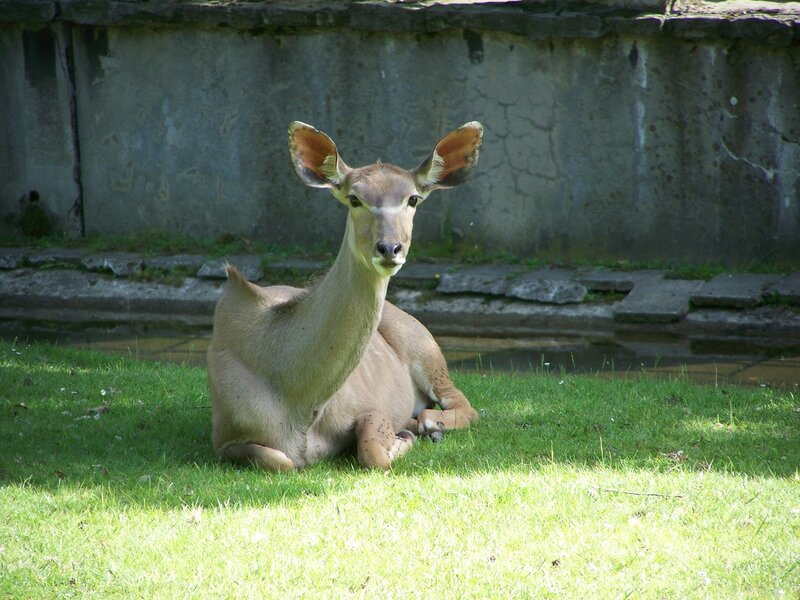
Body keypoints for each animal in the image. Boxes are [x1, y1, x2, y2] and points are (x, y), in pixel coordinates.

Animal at [207, 121, 483, 470]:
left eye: (413, 198)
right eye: (354, 199)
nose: (390, 248)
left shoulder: (371, 407)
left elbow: (373, 450)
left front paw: (406, 436)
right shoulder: (224, 438)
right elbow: (278, 459)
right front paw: (406, 433)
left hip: (426, 350)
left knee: (464, 405)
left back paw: (430, 424)